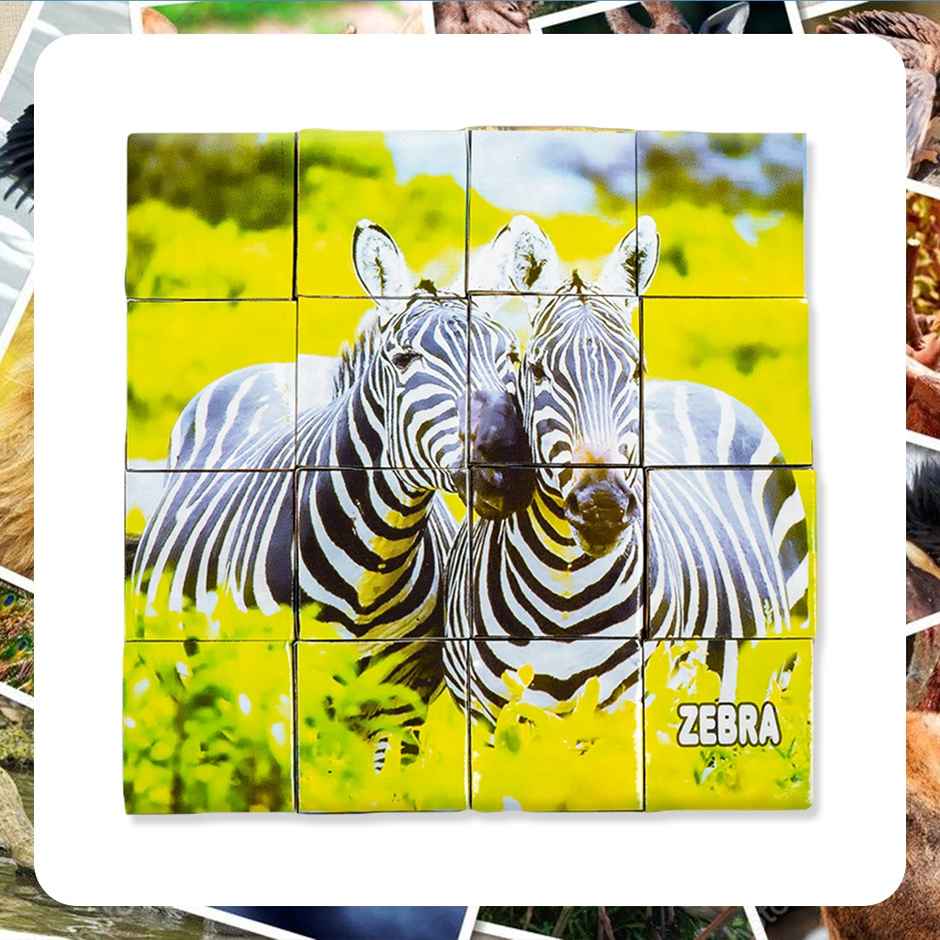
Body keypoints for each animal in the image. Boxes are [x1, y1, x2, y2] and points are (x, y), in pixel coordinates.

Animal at [130, 221, 533, 751]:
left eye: (510, 355)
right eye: (404, 360)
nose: (504, 463)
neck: (376, 562)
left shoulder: (401, 711)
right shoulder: (275, 704)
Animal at [445, 215, 811, 725]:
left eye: (637, 369)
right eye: (536, 370)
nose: (602, 507)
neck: (564, 594)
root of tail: (692, 386)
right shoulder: (492, 724)